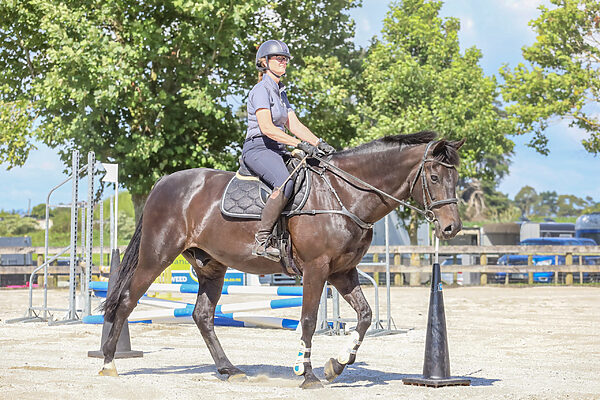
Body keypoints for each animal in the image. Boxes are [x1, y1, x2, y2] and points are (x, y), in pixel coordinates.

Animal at [98, 130, 466, 388]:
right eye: (434, 177)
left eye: (456, 178)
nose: (452, 228)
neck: (344, 195)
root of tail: (164, 182)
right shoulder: (317, 269)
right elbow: (308, 320)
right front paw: (307, 375)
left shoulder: (343, 271)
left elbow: (364, 316)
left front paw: (335, 366)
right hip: (156, 256)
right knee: (127, 301)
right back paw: (108, 363)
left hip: (211, 265)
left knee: (202, 315)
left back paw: (229, 369)